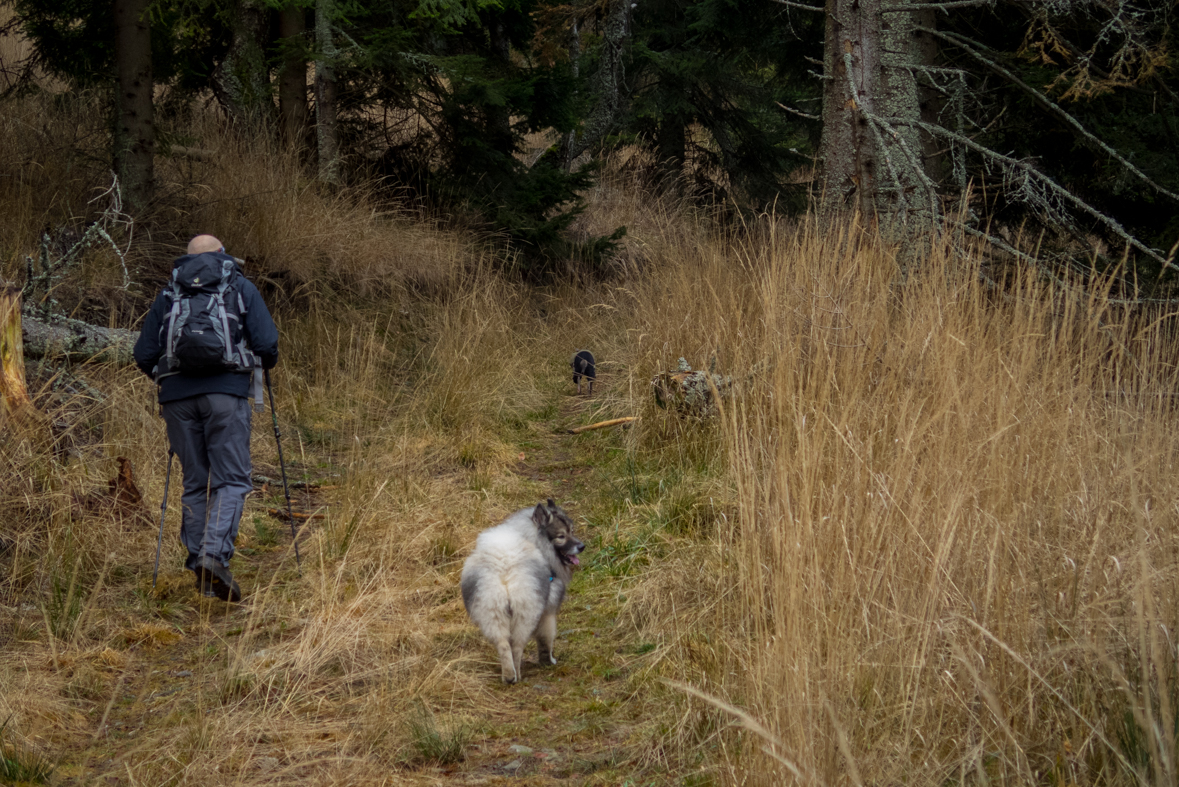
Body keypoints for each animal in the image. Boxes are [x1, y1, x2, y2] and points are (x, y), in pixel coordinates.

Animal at [462, 504, 587, 683]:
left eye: (572, 530)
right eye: (561, 536)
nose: (582, 546)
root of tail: (504, 570)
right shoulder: (547, 613)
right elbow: (546, 641)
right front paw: (549, 661)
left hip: (492, 613)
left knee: (503, 645)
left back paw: (508, 676)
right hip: (525, 615)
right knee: (516, 647)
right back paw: (517, 676)